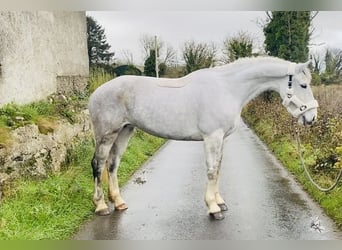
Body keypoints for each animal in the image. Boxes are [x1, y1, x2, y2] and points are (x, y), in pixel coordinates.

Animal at [87, 56, 318, 219]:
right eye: (303, 85)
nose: (311, 117)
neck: (228, 88)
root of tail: (96, 93)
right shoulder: (212, 137)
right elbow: (211, 170)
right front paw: (214, 208)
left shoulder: (222, 139)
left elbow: (218, 169)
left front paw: (220, 201)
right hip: (107, 135)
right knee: (98, 164)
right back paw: (101, 206)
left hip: (125, 131)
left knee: (112, 165)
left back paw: (118, 202)